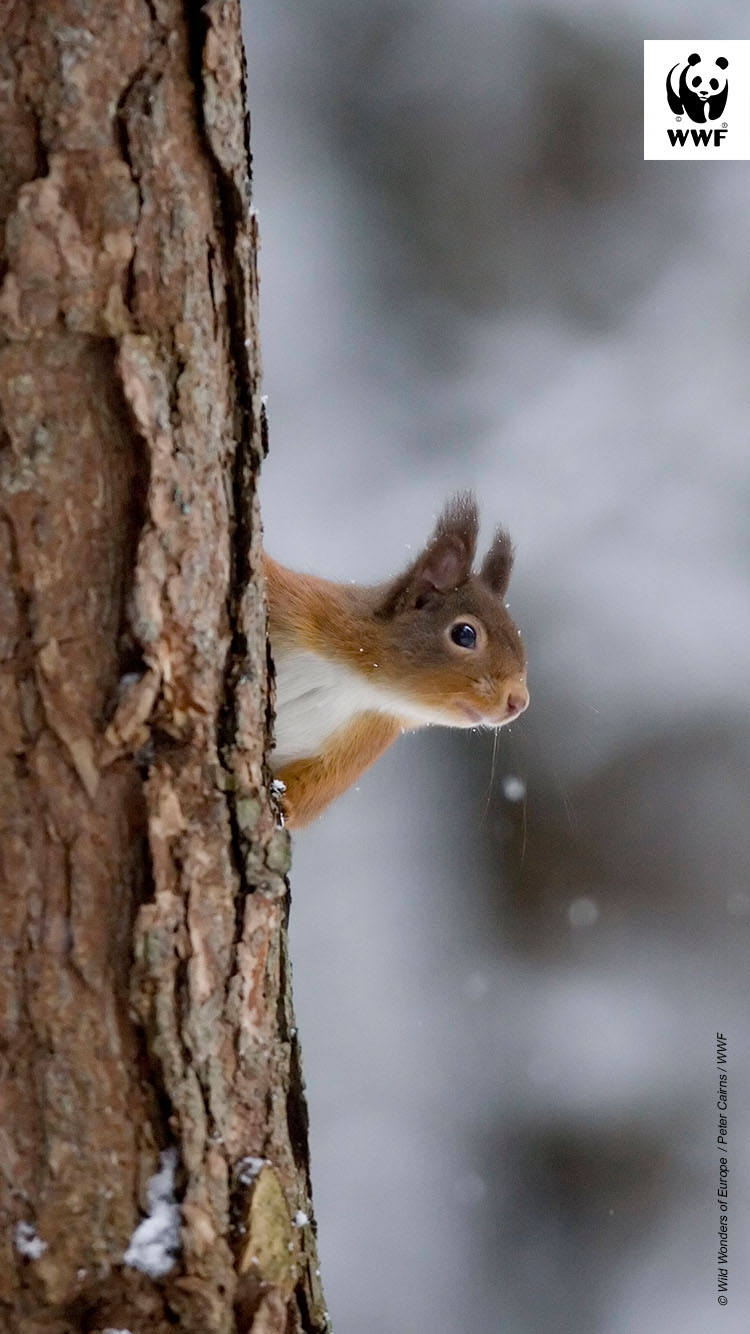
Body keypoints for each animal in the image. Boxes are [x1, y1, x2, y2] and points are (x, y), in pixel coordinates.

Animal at [264, 493, 529, 828]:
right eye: (465, 634)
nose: (519, 701)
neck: (355, 680)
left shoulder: (364, 739)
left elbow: (314, 791)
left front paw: (285, 804)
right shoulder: (301, 605)